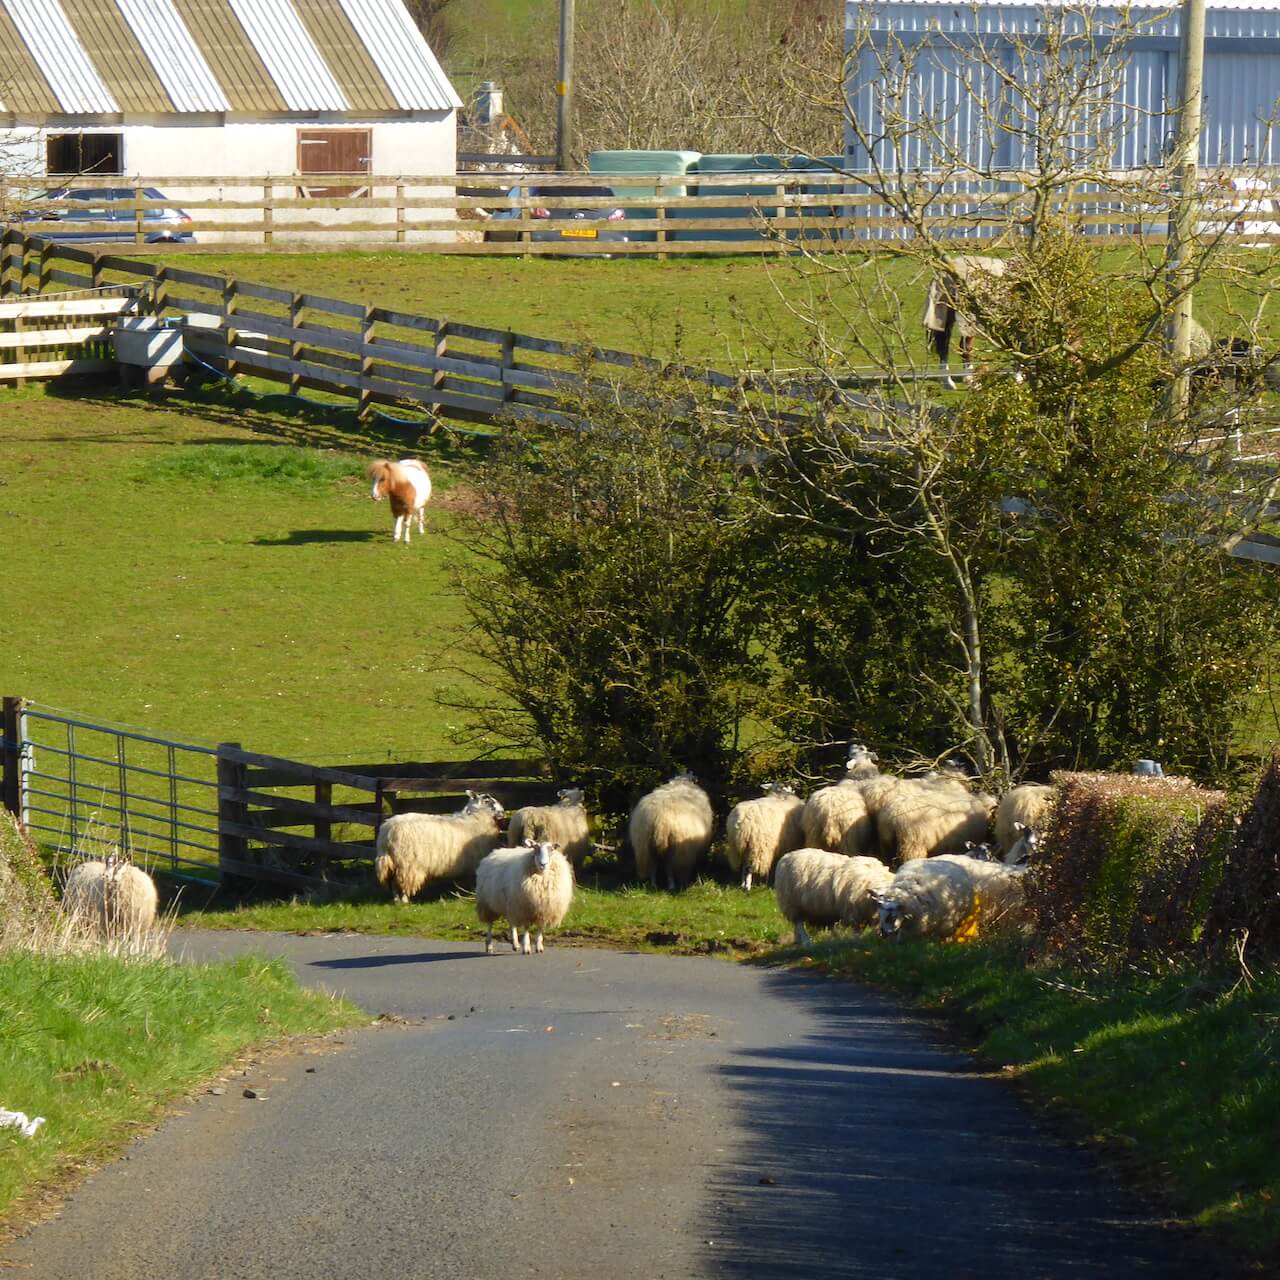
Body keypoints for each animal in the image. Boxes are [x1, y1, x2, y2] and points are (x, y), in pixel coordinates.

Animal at [371, 788, 504, 901]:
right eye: (487, 800)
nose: (502, 812)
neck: (476, 819)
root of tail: (387, 834)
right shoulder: (473, 862)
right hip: (407, 864)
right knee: (402, 882)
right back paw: (404, 900)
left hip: (391, 861)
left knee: (392, 882)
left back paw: (396, 900)